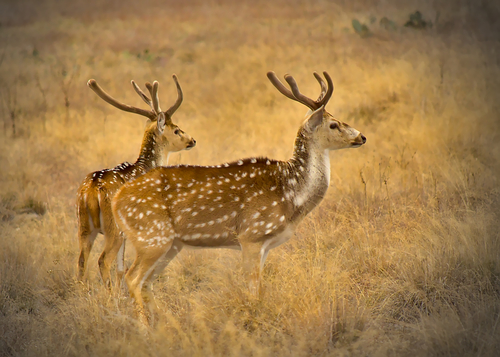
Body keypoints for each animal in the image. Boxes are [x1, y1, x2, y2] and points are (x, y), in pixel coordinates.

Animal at [76, 73, 195, 288]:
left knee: (81, 260)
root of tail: (92, 190)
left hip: (83, 224)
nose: (193, 140)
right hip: (112, 228)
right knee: (102, 260)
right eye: (176, 129)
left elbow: (121, 269)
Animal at [111, 70, 366, 322]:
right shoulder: (251, 235)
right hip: (152, 236)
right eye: (333, 124)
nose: (362, 137)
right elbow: (253, 290)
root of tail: (116, 201)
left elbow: (260, 289)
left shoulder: (265, 245)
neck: (291, 194)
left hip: (170, 244)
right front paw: (254, 318)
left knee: (146, 282)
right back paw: (144, 327)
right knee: (132, 278)